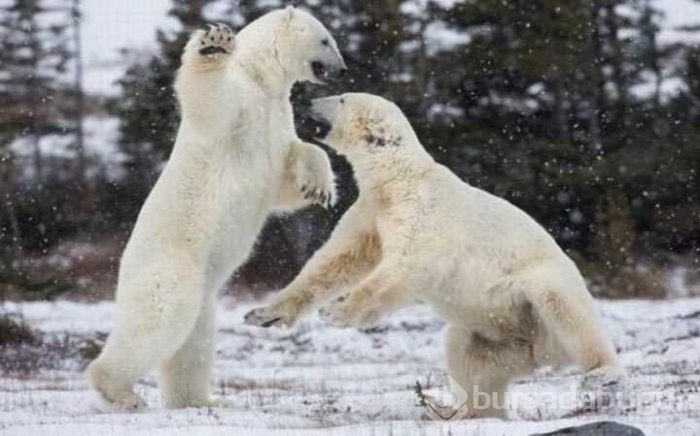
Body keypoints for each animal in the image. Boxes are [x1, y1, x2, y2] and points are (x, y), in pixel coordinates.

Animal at [87, 6, 348, 408]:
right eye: (325, 40)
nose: (342, 69)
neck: (263, 77)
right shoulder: (242, 102)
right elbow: (211, 102)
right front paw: (214, 44)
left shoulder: (277, 114)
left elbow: (287, 173)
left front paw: (318, 187)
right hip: (171, 266)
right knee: (157, 319)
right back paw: (120, 391)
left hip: (204, 296)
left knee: (193, 343)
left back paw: (198, 400)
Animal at [246, 93, 624, 418]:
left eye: (341, 99)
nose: (308, 99)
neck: (398, 178)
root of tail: (542, 353)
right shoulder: (372, 209)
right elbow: (339, 259)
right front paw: (264, 314)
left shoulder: (424, 210)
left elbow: (407, 263)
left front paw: (337, 311)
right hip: (499, 339)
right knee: (467, 356)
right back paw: (461, 412)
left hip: (542, 289)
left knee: (565, 309)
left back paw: (602, 374)